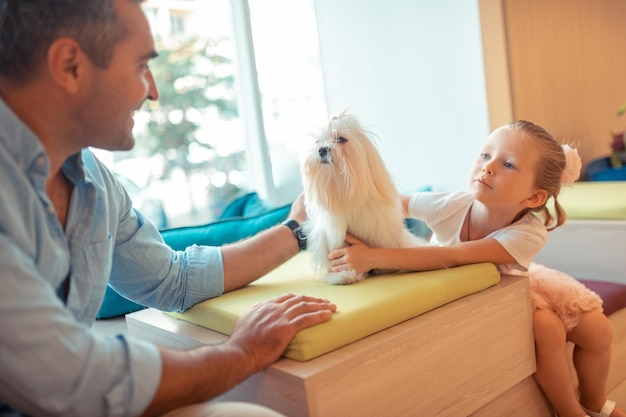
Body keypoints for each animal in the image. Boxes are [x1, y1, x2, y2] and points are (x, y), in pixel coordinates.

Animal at [300, 110, 422, 284]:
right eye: (317, 142)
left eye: (341, 139)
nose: (322, 149)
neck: (342, 187)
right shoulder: (336, 235)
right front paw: (345, 274)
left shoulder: (379, 228)